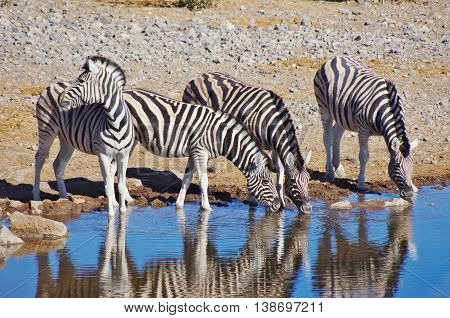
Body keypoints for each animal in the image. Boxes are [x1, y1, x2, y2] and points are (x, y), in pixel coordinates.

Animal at [33, 57, 134, 216]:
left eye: (81, 81)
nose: (61, 98)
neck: (115, 122)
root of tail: (52, 85)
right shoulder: (104, 155)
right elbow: (108, 187)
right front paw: (111, 215)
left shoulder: (123, 155)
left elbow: (121, 185)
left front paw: (123, 212)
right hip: (46, 129)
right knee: (39, 159)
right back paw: (36, 197)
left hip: (66, 139)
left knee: (58, 164)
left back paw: (64, 198)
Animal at [35, 85, 280, 212]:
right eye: (266, 182)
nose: (279, 205)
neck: (219, 134)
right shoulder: (200, 151)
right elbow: (203, 180)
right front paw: (206, 208)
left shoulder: (193, 152)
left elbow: (187, 178)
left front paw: (180, 204)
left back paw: (126, 199)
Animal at [181, 71, 312, 212]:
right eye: (293, 181)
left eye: (308, 179)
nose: (307, 209)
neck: (270, 121)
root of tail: (199, 76)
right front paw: (252, 200)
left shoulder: (275, 147)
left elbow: (280, 171)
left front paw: (282, 202)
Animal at [312, 56, 418, 198]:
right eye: (396, 165)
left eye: (413, 164)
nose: (409, 193)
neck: (385, 108)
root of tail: (336, 58)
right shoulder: (363, 130)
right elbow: (364, 156)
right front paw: (361, 184)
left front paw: (415, 187)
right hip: (324, 108)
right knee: (328, 137)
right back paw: (329, 172)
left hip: (343, 113)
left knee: (336, 133)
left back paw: (338, 168)